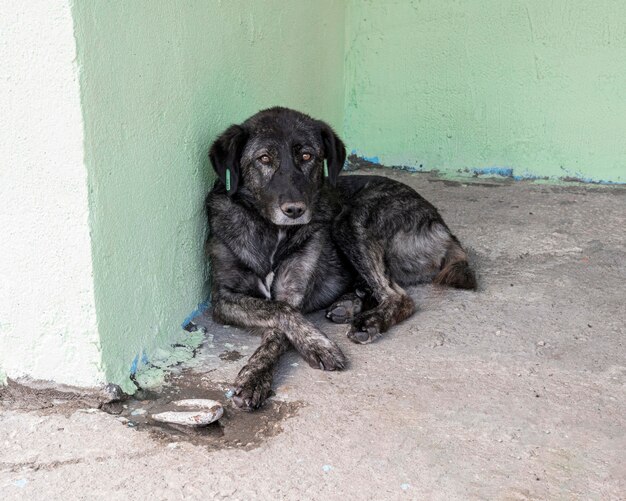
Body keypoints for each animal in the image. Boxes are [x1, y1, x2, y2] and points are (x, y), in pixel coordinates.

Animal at [205, 107, 472, 408]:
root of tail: (443, 226)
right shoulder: (223, 297)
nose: (295, 210)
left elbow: (280, 320)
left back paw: (369, 320)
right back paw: (350, 303)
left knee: (398, 296)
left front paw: (262, 372)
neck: (272, 232)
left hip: (350, 220)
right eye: (264, 159)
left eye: (307, 156)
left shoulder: (291, 293)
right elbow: (277, 312)